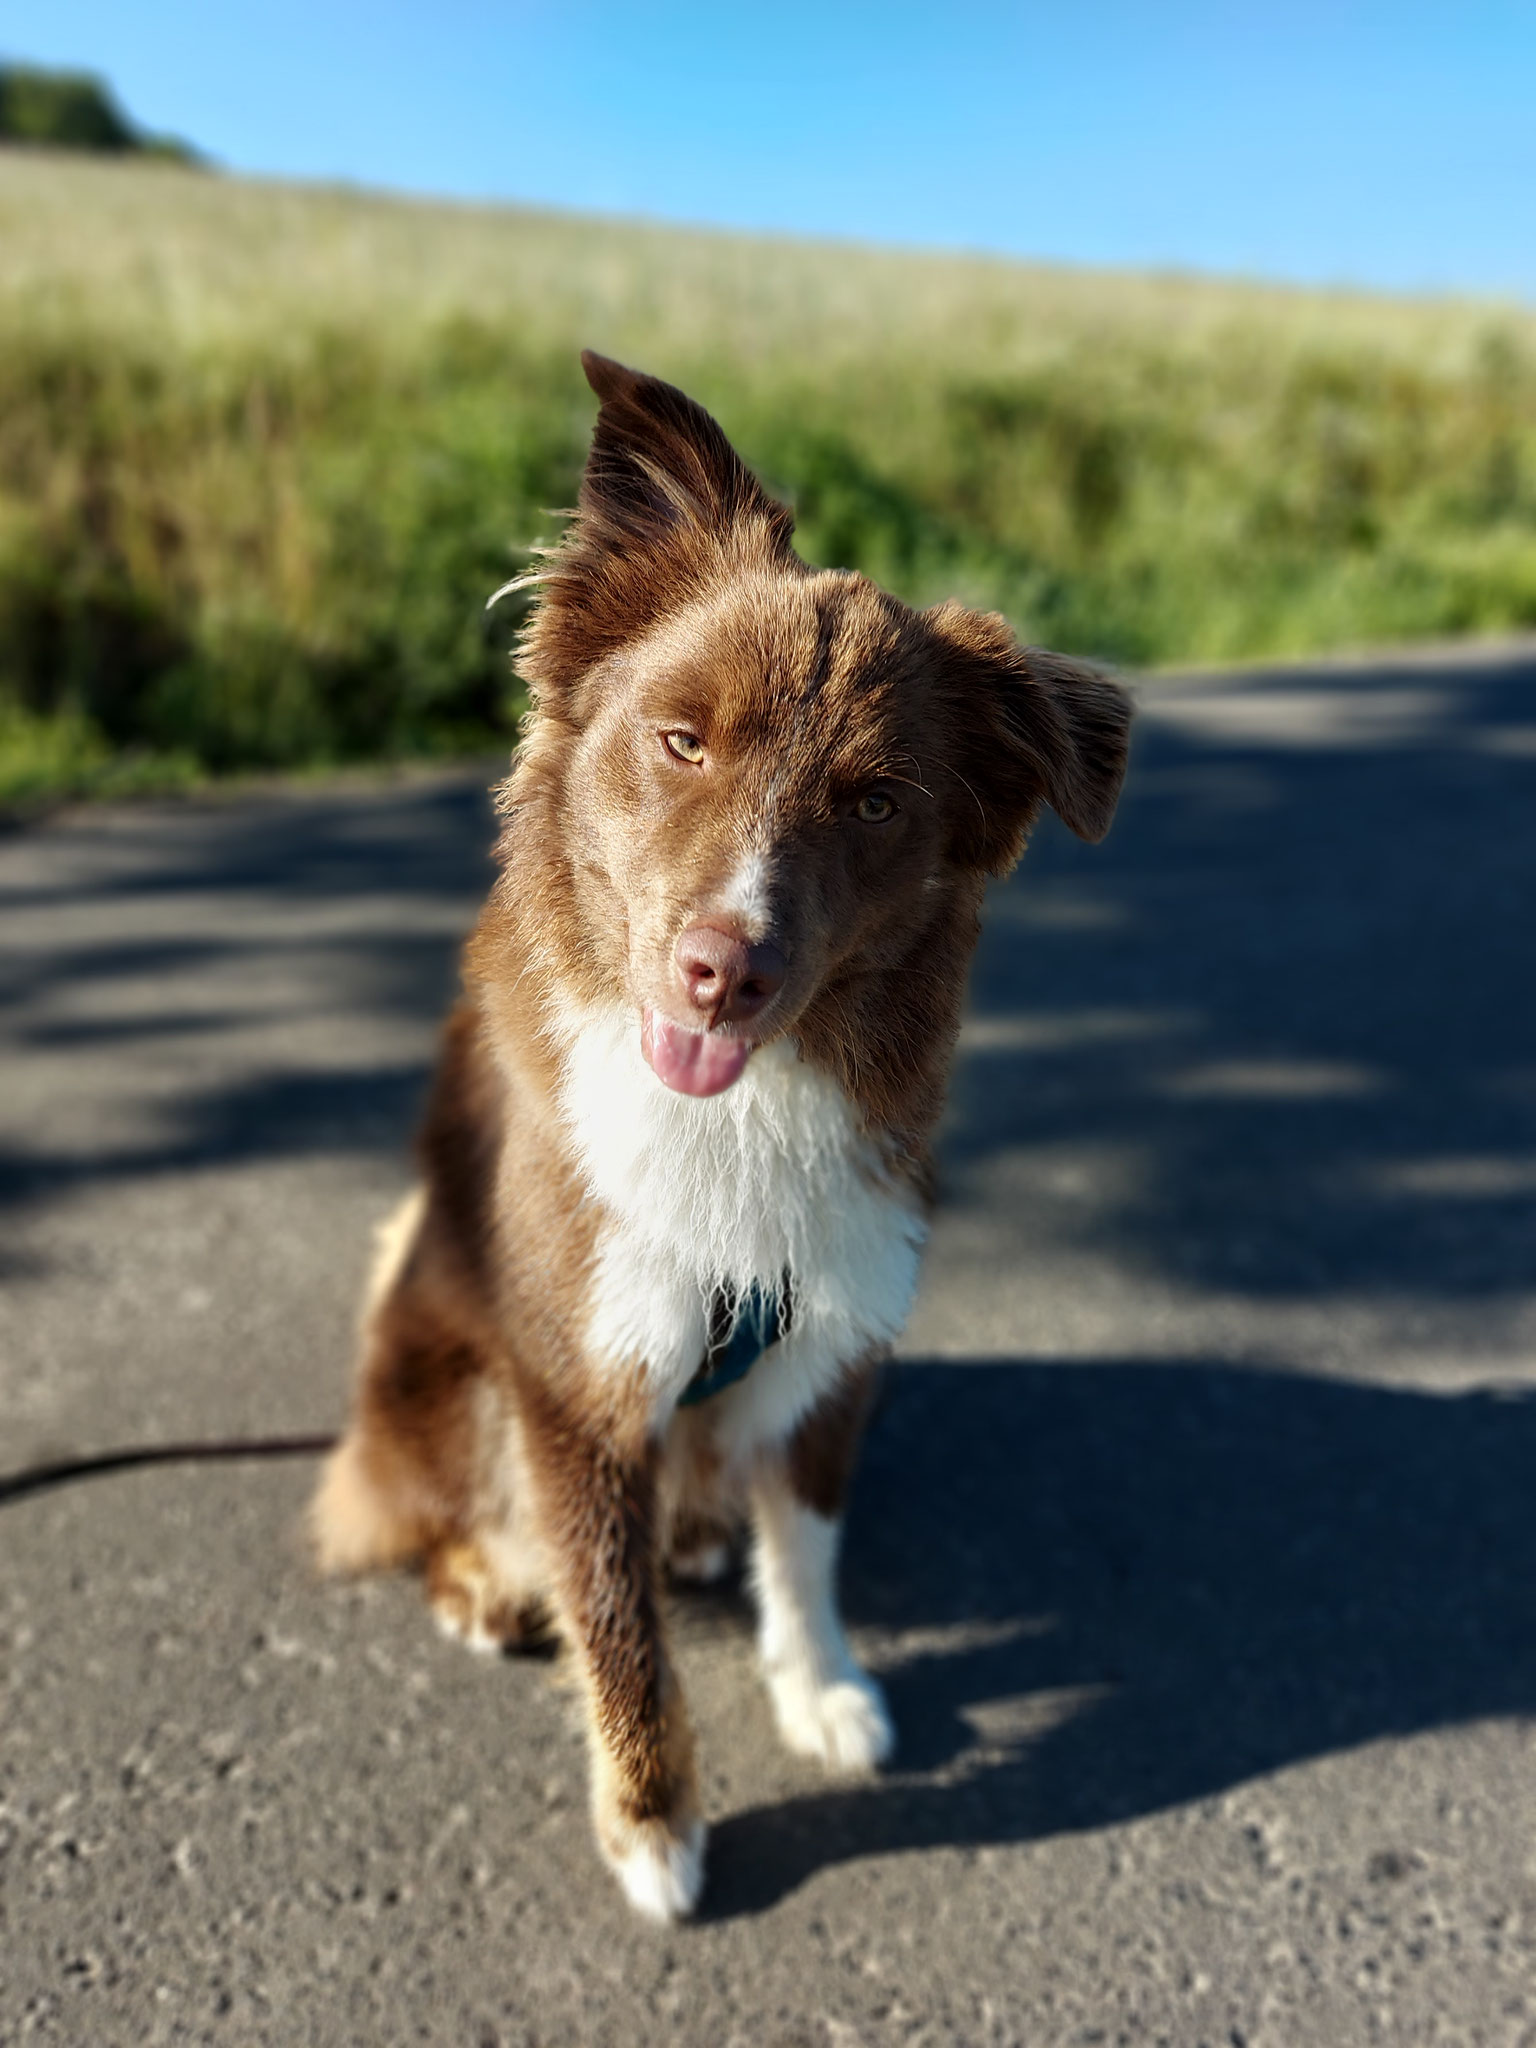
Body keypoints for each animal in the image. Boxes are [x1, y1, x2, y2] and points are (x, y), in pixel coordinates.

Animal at [309, 352, 1130, 1916]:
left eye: (875, 800)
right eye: (681, 741)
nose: (719, 972)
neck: (740, 1111)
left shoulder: (838, 1331)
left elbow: (805, 1543)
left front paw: (820, 1685)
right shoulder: (576, 1383)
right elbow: (614, 1623)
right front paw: (654, 1821)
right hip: (437, 1358)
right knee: (410, 1510)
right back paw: (485, 1583)